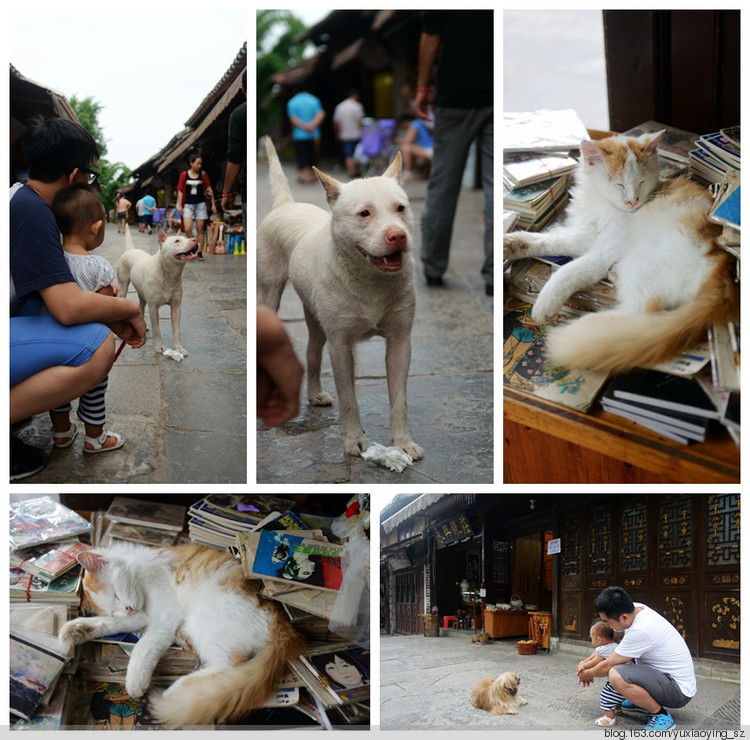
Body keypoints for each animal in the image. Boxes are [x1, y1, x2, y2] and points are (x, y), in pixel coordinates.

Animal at [59, 540, 306, 724]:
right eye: (114, 609)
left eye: (116, 593)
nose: (127, 609)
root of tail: (285, 628)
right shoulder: (142, 617)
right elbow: (105, 624)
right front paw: (75, 630)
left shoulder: (162, 620)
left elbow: (143, 648)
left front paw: (135, 682)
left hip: (203, 619)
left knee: (229, 666)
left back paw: (176, 690)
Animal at [258, 134, 424, 456]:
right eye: (364, 213)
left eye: (401, 208)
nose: (398, 236)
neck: (370, 280)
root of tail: (286, 204)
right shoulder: (340, 345)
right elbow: (349, 398)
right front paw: (354, 439)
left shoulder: (401, 342)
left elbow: (400, 398)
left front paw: (403, 441)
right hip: (270, 296)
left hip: (315, 315)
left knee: (312, 352)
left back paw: (313, 393)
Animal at [506, 130, 740, 372]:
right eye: (619, 184)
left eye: (642, 182)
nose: (633, 201)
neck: (602, 203)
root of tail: (725, 280)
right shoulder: (586, 234)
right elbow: (549, 240)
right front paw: (512, 244)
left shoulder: (604, 251)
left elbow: (567, 271)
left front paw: (544, 304)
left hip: (640, 264)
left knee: (640, 316)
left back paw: (593, 330)